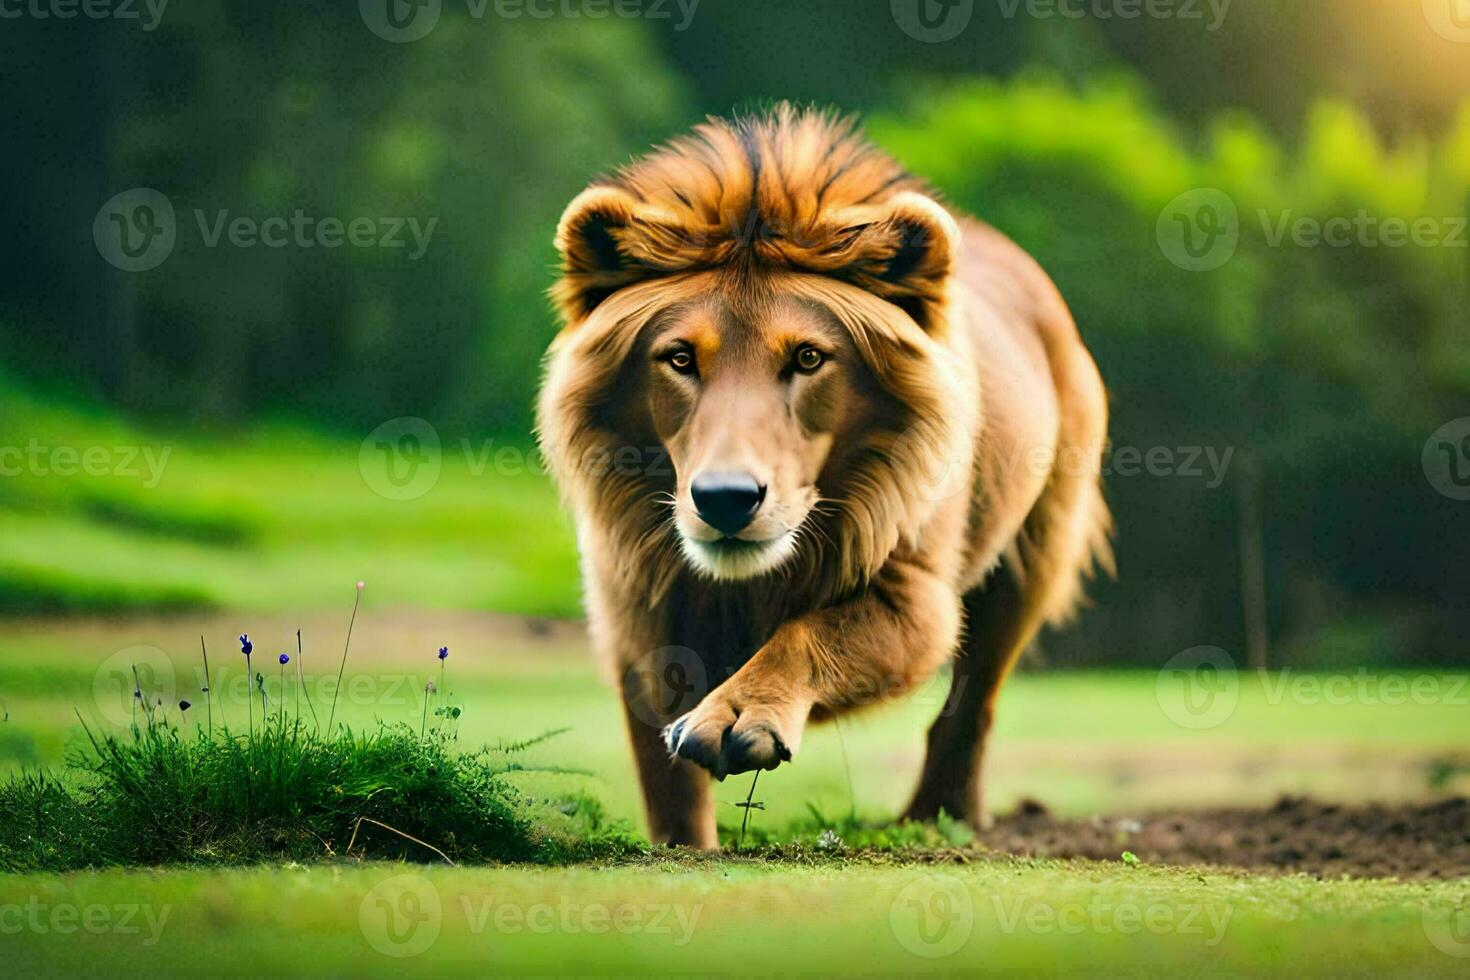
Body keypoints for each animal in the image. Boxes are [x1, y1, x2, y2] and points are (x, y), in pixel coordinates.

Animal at [535, 103, 1105, 846]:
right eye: (680, 358)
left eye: (808, 358)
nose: (725, 500)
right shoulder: (636, 617)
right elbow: (668, 788)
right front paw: (685, 844)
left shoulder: (918, 598)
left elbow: (807, 636)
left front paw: (738, 716)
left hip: (1031, 559)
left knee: (973, 701)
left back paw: (942, 815)